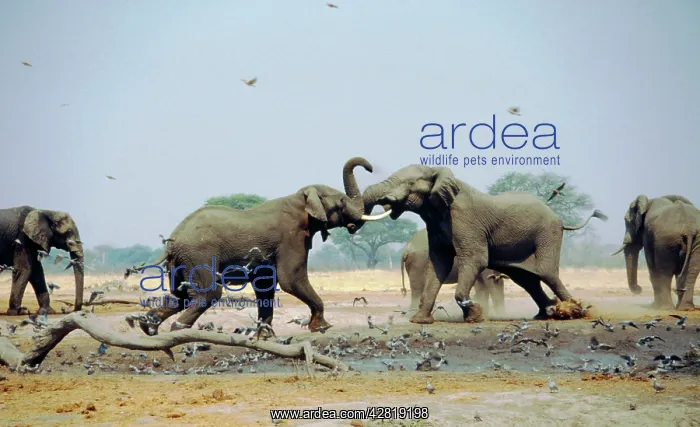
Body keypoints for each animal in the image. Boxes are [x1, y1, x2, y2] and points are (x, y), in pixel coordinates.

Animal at [133, 157, 390, 335]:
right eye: (342, 202)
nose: (371, 167)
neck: (301, 197)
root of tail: (172, 241)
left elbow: (266, 284)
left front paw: (265, 336)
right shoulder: (291, 236)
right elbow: (290, 279)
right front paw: (322, 328)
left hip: (182, 261)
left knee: (180, 295)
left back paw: (148, 327)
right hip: (199, 255)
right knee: (207, 294)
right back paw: (177, 329)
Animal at [361, 165, 608, 324]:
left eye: (410, 183)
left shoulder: (465, 220)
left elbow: (475, 260)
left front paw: (475, 316)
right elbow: (439, 263)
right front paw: (420, 321)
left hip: (547, 234)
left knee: (547, 273)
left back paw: (577, 311)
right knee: (526, 279)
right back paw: (548, 311)